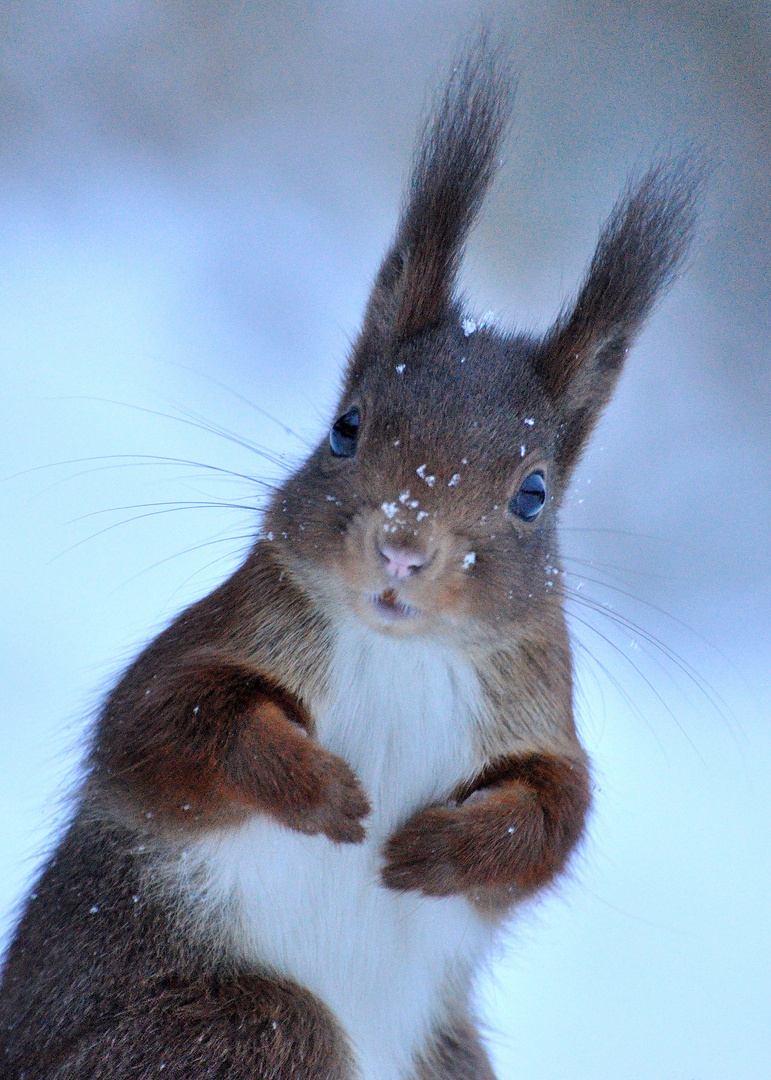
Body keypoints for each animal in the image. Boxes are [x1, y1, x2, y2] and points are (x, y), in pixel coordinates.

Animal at [0, 35, 695, 1080]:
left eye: (532, 493)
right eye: (346, 428)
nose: (403, 548)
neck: (403, 656)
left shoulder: (540, 716)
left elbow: (553, 819)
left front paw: (445, 848)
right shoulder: (209, 644)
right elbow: (167, 720)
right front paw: (316, 787)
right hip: (225, 1032)